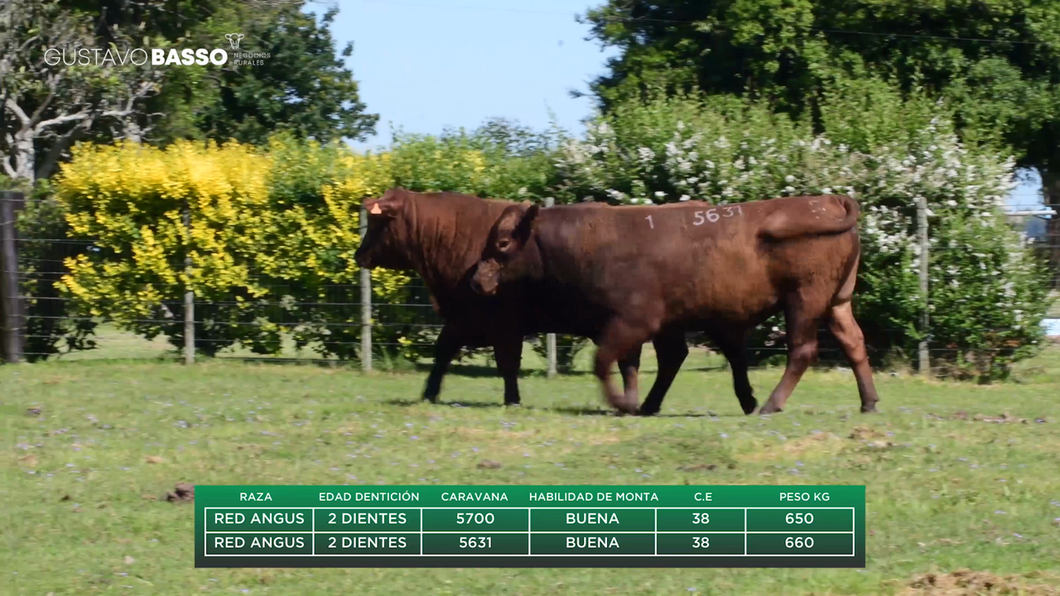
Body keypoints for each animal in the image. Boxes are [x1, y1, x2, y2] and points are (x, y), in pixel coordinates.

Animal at [351, 187, 674, 405]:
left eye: (378, 222)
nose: (358, 254)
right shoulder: (461, 319)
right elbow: (442, 353)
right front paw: (429, 393)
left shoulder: (503, 324)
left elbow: (507, 363)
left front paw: (512, 399)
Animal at [470, 194, 877, 413]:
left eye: (503, 242)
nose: (477, 279)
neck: (593, 241)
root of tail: (827, 200)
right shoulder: (662, 326)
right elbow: (654, 362)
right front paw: (642, 404)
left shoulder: (632, 322)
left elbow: (605, 361)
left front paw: (624, 403)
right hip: (837, 302)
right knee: (854, 343)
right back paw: (868, 401)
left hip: (804, 300)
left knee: (803, 350)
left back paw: (772, 404)